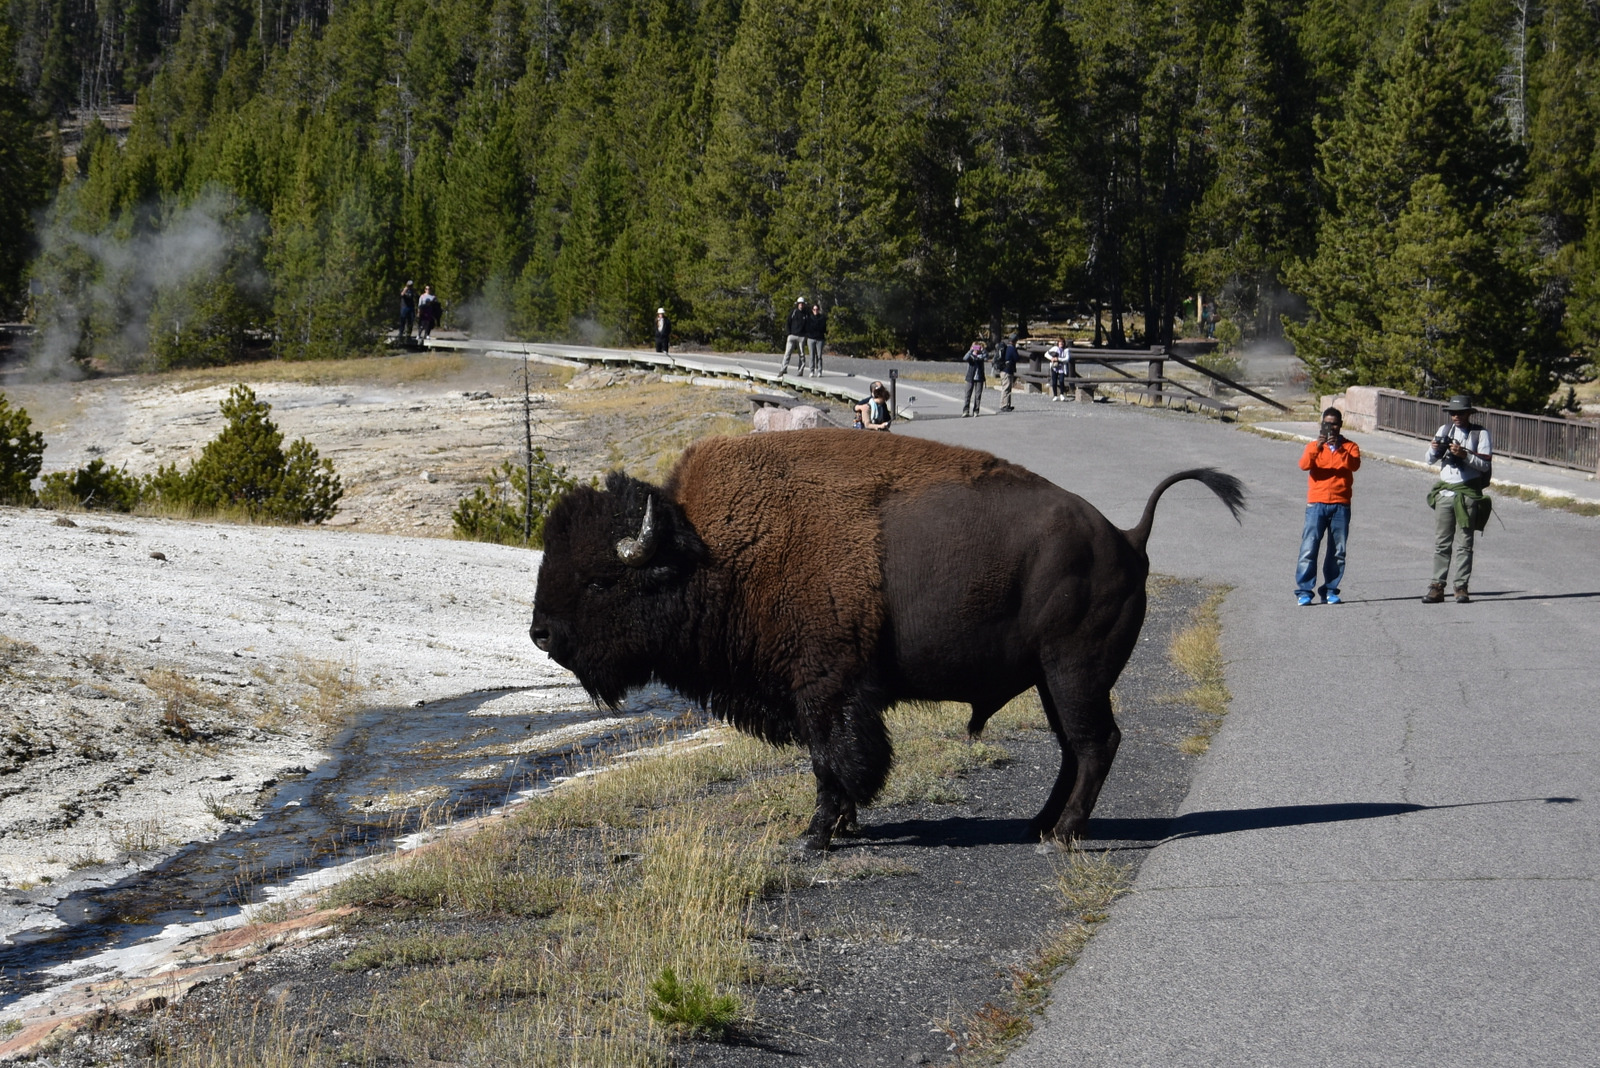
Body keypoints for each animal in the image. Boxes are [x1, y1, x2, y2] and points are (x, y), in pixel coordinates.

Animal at [531, 428, 1241, 844]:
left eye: (599, 582)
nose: (541, 634)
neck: (712, 551)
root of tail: (1127, 537)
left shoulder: (826, 690)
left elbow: (834, 761)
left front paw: (816, 834)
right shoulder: (820, 694)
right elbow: (835, 762)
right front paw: (839, 826)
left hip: (1074, 672)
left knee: (1096, 743)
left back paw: (1062, 833)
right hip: (1051, 680)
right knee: (1074, 747)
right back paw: (1038, 823)